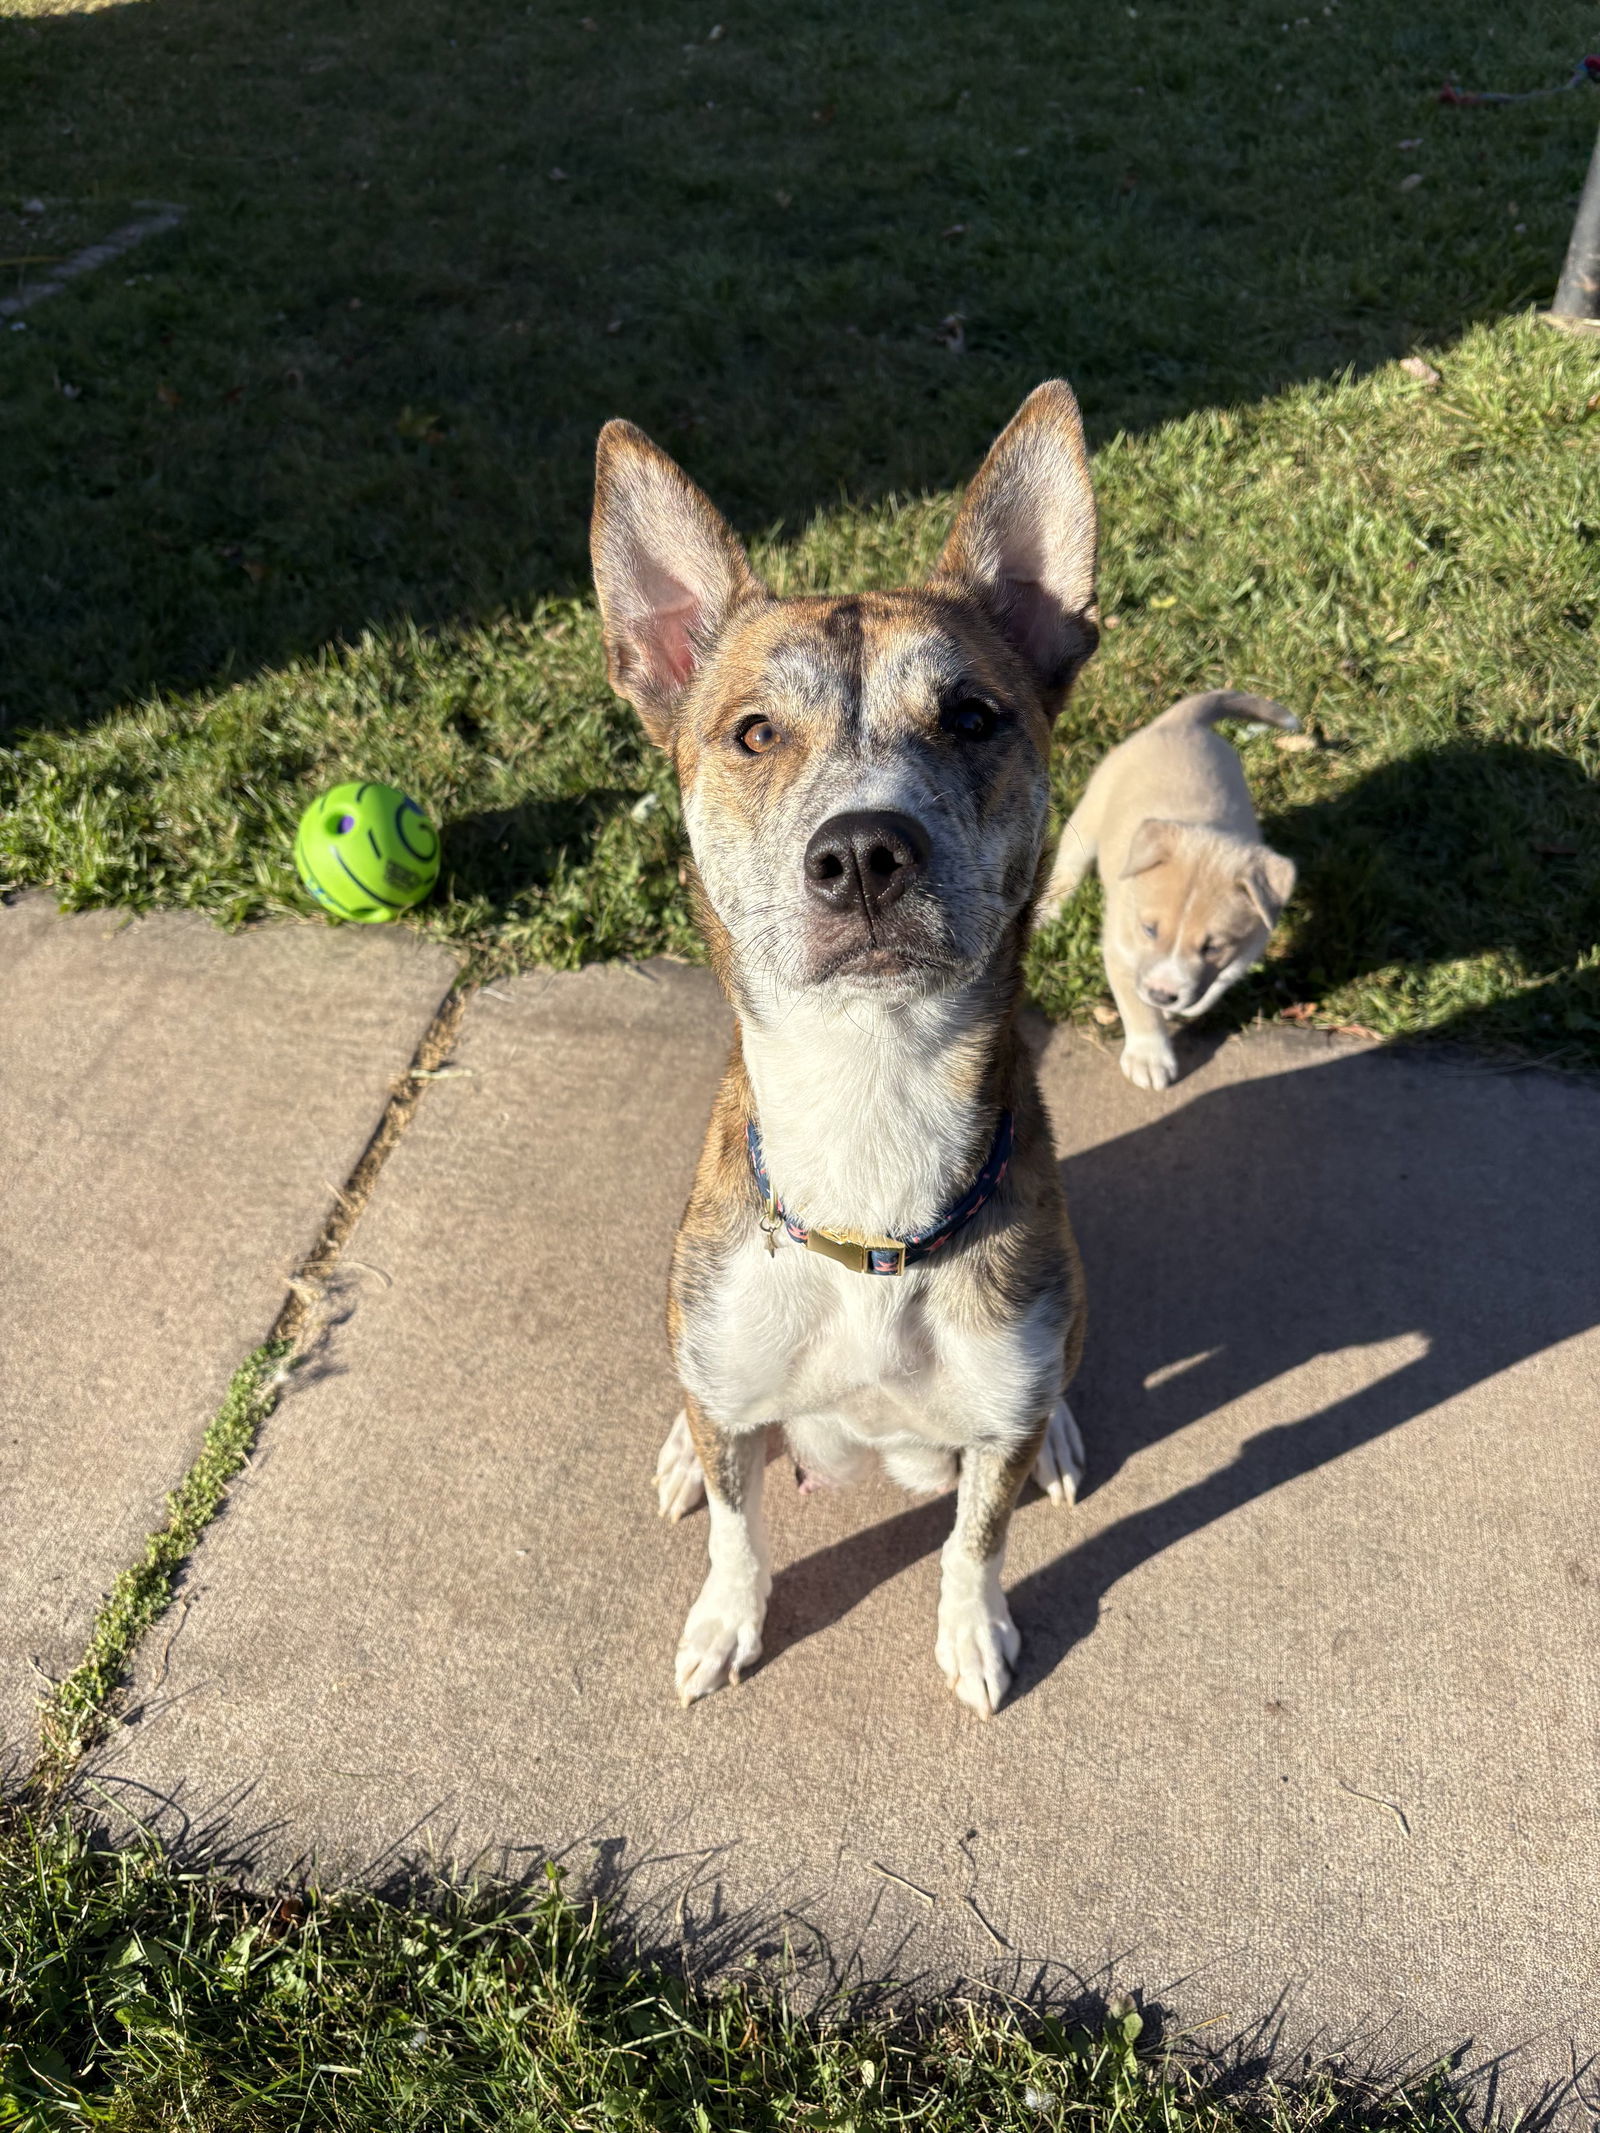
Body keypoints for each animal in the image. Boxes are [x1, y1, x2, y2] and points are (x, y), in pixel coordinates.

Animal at [588, 383, 1100, 1714]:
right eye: (754, 732)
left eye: (971, 715)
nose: (865, 851)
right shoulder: (732, 1383)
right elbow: (737, 1524)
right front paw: (727, 1617)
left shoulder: (993, 1414)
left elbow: (976, 1534)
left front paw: (972, 1627)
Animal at [1041, 691, 1305, 1092]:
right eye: (1149, 930)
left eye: (1212, 946)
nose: (1162, 993)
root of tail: (1180, 723)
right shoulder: (1120, 950)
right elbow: (1138, 1009)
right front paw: (1149, 1056)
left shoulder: (1245, 948)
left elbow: (1212, 988)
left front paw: (1180, 1007)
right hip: (1088, 819)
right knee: (1067, 867)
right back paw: (1050, 911)